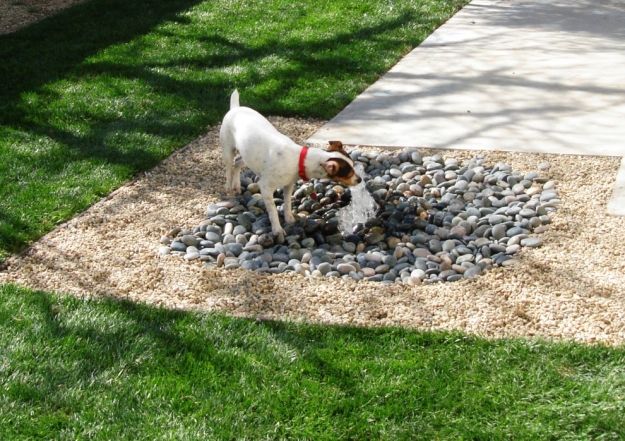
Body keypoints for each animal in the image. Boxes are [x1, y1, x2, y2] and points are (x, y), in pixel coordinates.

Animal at [219, 89, 358, 237]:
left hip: (248, 156)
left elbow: (287, 203)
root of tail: (235, 108)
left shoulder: (288, 185)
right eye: (348, 173)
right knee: (229, 168)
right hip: (228, 150)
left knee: (237, 163)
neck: (298, 159)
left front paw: (289, 218)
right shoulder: (265, 187)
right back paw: (229, 187)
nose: (360, 180)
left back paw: (236, 185)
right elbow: (273, 211)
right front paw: (277, 229)